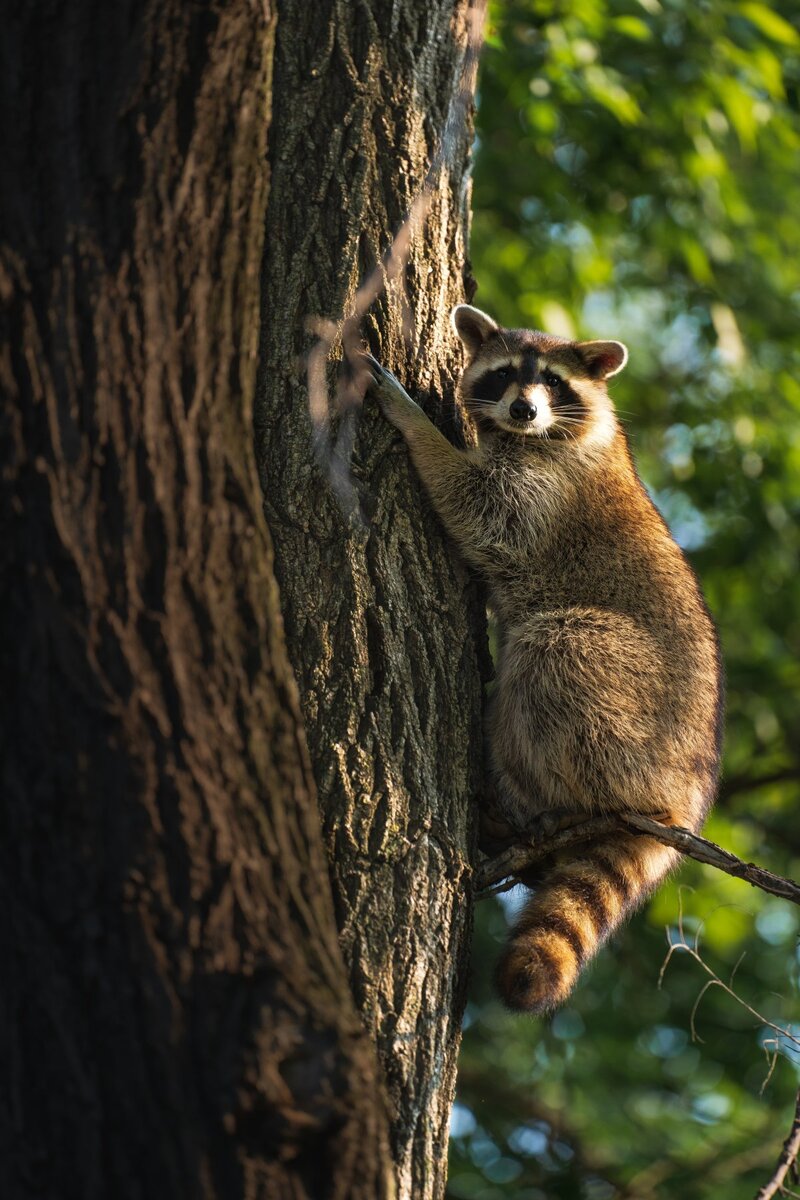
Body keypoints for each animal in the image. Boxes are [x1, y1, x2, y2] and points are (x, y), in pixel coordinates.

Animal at [367, 307, 724, 1012]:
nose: (524, 410)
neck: (530, 436)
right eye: (507, 374)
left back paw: (523, 798)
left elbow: (479, 507)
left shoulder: (548, 487)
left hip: (630, 700)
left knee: (551, 654)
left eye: (554, 383)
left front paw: (412, 420)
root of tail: (684, 795)